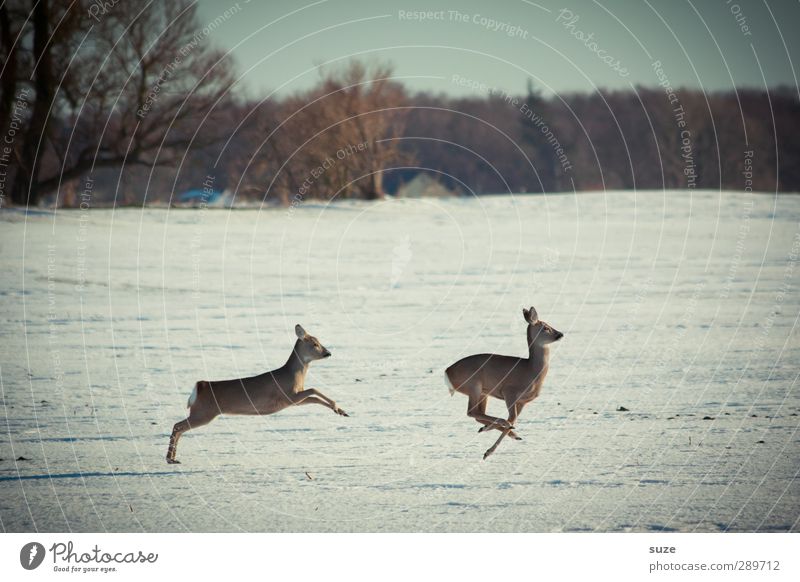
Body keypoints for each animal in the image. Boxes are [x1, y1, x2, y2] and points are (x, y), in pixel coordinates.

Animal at [166, 324, 346, 466]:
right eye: (315, 344)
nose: (328, 353)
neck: (295, 376)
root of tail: (199, 387)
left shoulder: (294, 399)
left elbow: (313, 396)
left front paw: (340, 411)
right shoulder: (287, 396)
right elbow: (314, 389)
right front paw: (339, 408)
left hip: (202, 412)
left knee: (179, 427)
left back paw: (173, 458)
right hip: (204, 412)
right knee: (178, 426)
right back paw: (170, 458)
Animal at [444, 308, 564, 464]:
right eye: (545, 328)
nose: (560, 334)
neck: (531, 371)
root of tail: (447, 373)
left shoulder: (523, 401)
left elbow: (513, 418)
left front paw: (491, 432)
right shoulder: (510, 392)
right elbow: (512, 417)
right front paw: (488, 452)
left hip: (483, 393)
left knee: (478, 414)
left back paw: (499, 430)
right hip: (474, 385)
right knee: (472, 411)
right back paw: (502, 427)